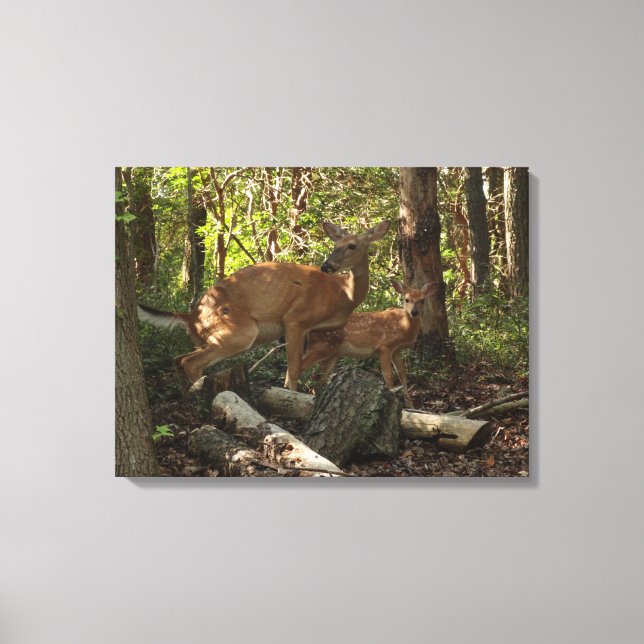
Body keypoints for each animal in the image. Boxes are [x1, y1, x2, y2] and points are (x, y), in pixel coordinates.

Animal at [137, 220, 390, 391]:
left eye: (352, 246)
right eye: (335, 243)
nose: (327, 265)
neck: (342, 293)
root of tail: (191, 316)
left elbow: (303, 369)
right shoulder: (295, 319)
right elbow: (294, 369)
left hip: (208, 337)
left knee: (179, 358)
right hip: (241, 330)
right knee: (190, 362)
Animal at [296, 279, 438, 408]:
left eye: (422, 300)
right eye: (406, 299)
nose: (414, 312)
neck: (403, 325)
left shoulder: (396, 350)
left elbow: (402, 374)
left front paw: (411, 406)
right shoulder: (385, 346)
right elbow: (388, 375)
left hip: (331, 354)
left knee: (319, 377)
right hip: (319, 347)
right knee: (299, 367)